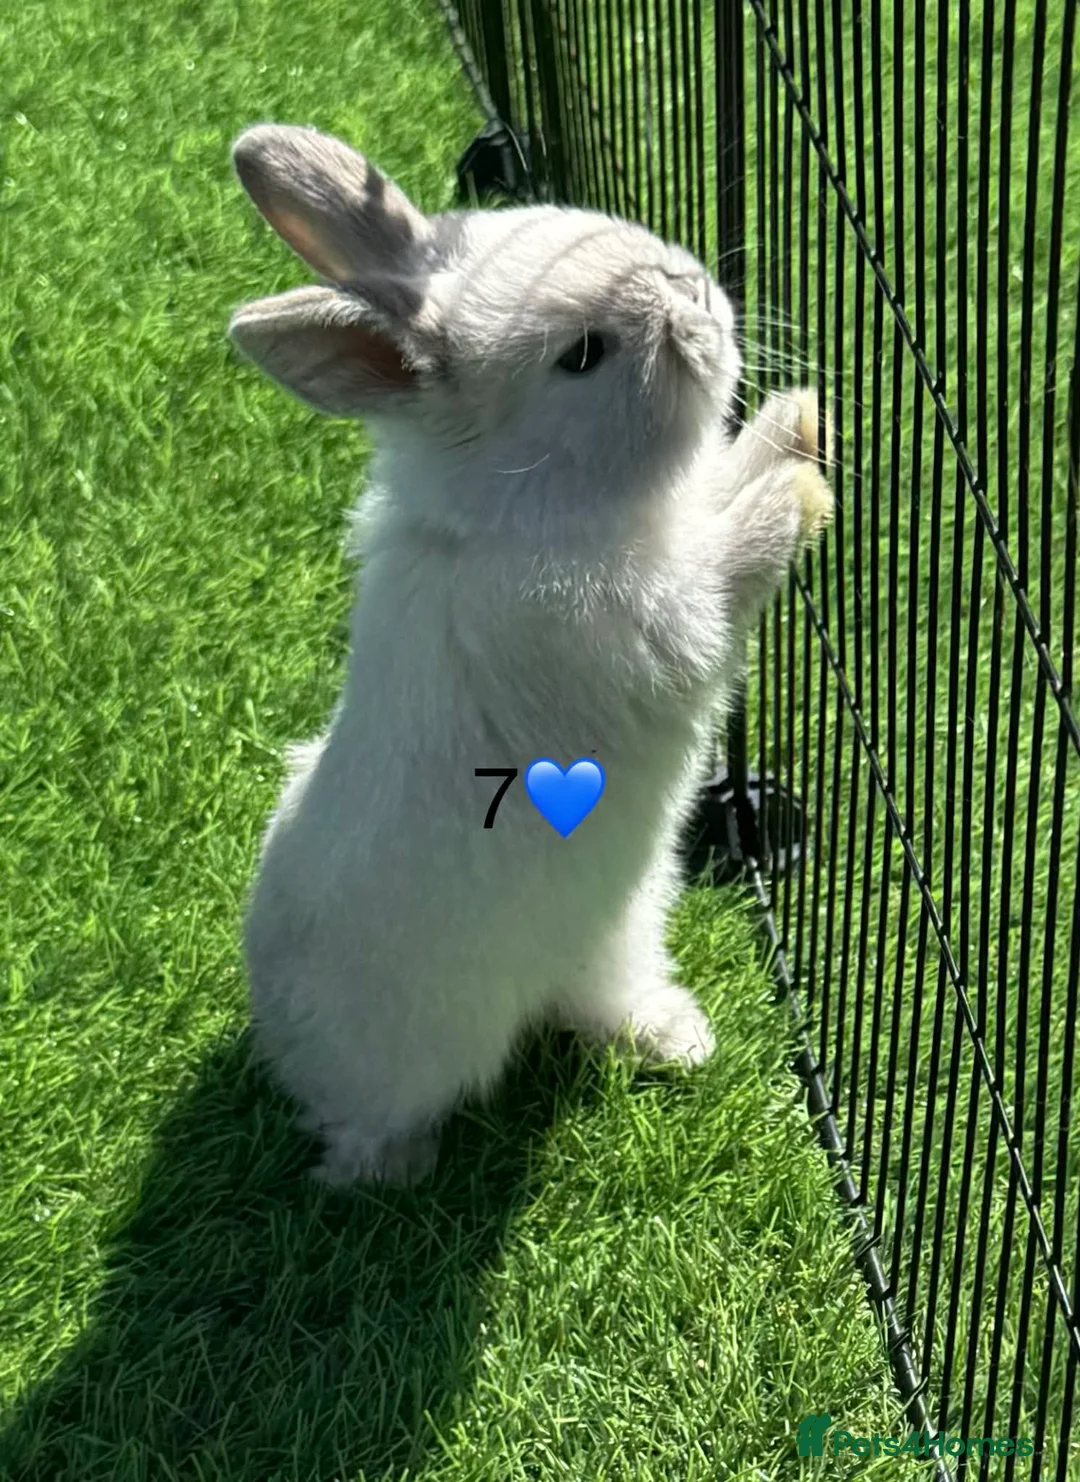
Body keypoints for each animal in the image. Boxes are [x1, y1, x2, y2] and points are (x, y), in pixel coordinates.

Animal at [227, 123, 833, 1187]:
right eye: (582, 357)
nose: (693, 292)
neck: (528, 502)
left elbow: (723, 481)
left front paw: (793, 419)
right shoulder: (664, 617)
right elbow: (735, 556)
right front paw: (798, 475)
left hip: (619, 930)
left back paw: (680, 1041)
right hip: (407, 1058)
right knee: (361, 1128)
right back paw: (394, 1168)